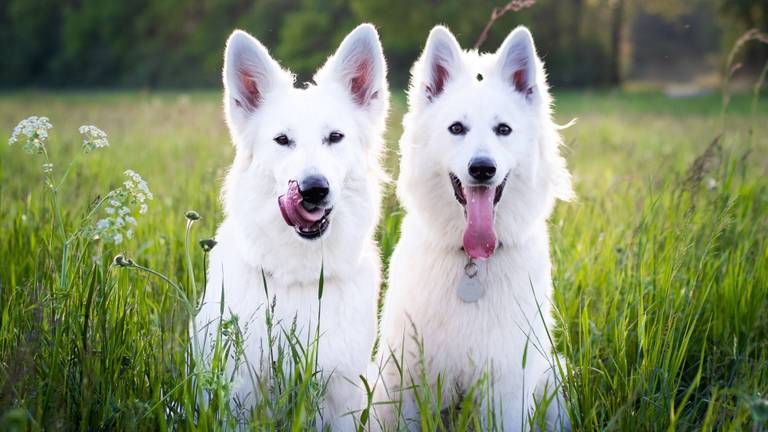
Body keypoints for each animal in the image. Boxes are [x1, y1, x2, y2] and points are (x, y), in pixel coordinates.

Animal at [196, 24, 390, 432]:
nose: (313, 189)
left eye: (335, 137)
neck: (301, 278)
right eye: (282, 140)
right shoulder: (238, 392)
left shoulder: (343, 394)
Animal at [376, 25, 572, 430]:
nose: (482, 168)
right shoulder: (407, 378)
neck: (472, 263)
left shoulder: (507, 383)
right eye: (456, 128)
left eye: (503, 129)